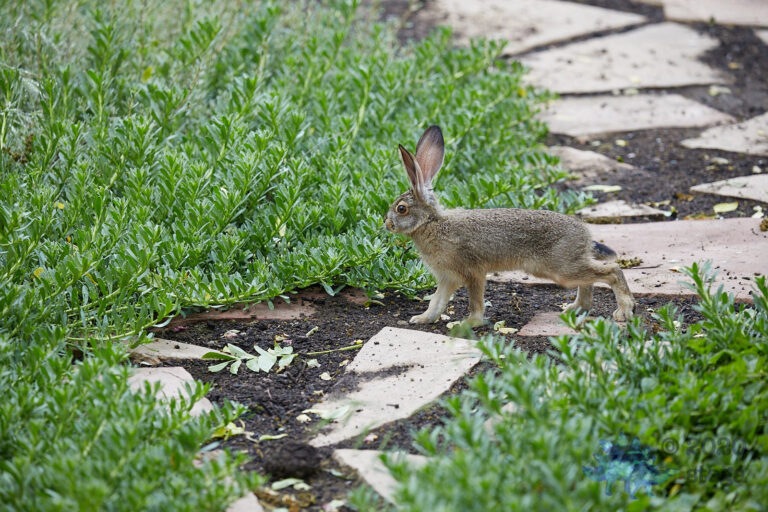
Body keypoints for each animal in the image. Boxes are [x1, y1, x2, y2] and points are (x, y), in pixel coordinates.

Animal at [384, 125, 635, 326]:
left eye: (401, 209)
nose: (387, 224)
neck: (431, 223)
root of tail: (585, 234)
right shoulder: (448, 277)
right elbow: (437, 300)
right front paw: (422, 318)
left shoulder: (472, 271)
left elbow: (475, 301)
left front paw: (469, 324)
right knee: (590, 280)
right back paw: (576, 309)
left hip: (561, 268)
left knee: (612, 271)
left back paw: (623, 311)